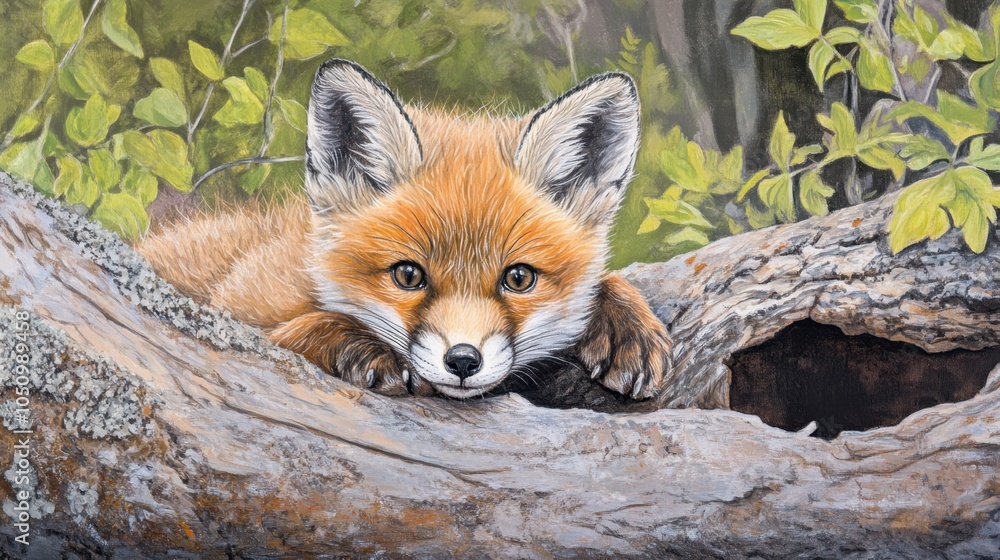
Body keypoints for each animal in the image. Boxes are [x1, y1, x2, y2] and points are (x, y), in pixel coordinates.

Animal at [138, 59, 672, 400]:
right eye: (408, 275)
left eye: (519, 278)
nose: (463, 361)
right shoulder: (235, 310)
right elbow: (300, 327)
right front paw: (365, 347)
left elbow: (607, 282)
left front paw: (628, 327)